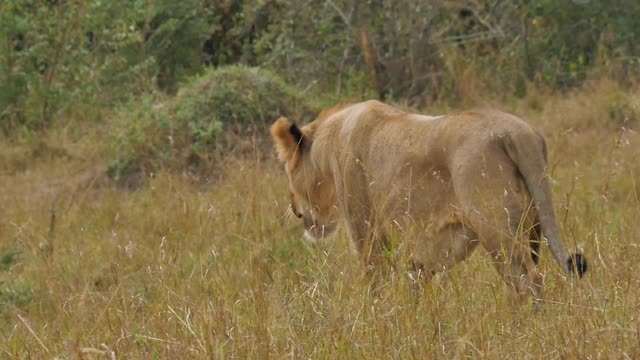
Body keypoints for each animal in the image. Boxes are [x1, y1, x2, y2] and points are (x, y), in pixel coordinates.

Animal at [268, 100, 584, 300]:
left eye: (287, 171)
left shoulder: (366, 231)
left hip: (496, 228)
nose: (294, 209)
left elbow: (376, 282)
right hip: (532, 228)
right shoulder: (422, 256)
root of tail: (520, 132)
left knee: (529, 280)